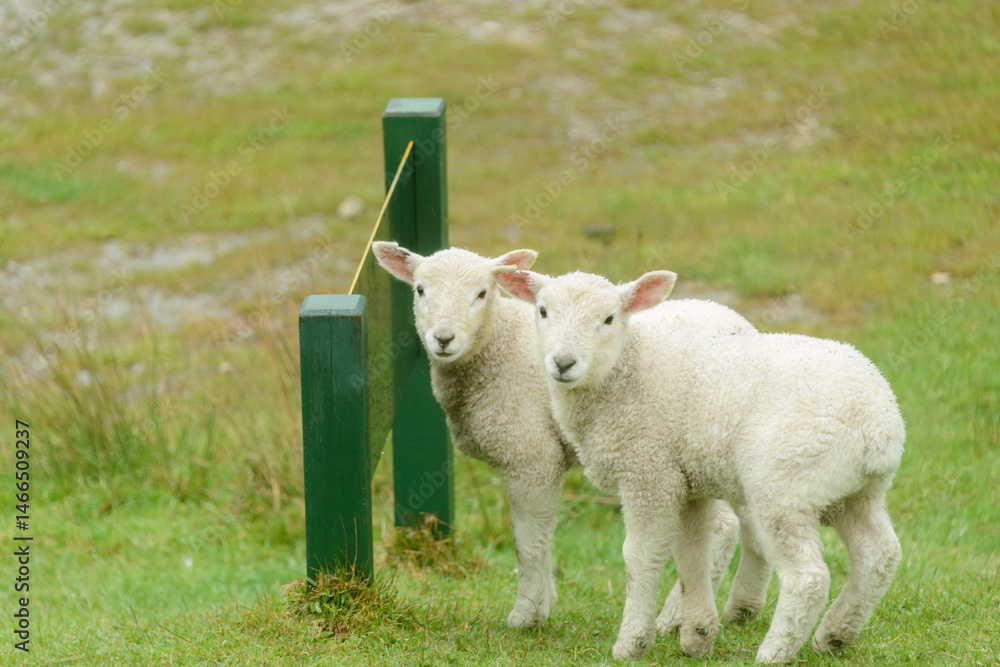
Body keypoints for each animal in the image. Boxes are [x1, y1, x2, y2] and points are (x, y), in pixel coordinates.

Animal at [372, 242, 754, 631]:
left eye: (481, 293)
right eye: (420, 290)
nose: (444, 339)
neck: (498, 345)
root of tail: (735, 319)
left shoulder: (530, 454)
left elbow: (527, 539)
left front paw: (526, 613)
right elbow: (542, 536)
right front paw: (546, 600)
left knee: (724, 528)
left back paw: (674, 617)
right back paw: (738, 608)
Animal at [494, 267, 904, 663]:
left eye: (609, 318)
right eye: (542, 311)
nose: (563, 363)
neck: (624, 370)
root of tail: (878, 425)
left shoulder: (648, 473)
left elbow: (640, 556)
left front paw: (632, 643)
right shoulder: (688, 483)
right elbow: (692, 554)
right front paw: (697, 635)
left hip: (786, 485)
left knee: (809, 577)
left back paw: (776, 651)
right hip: (856, 492)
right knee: (880, 556)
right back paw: (835, 635)